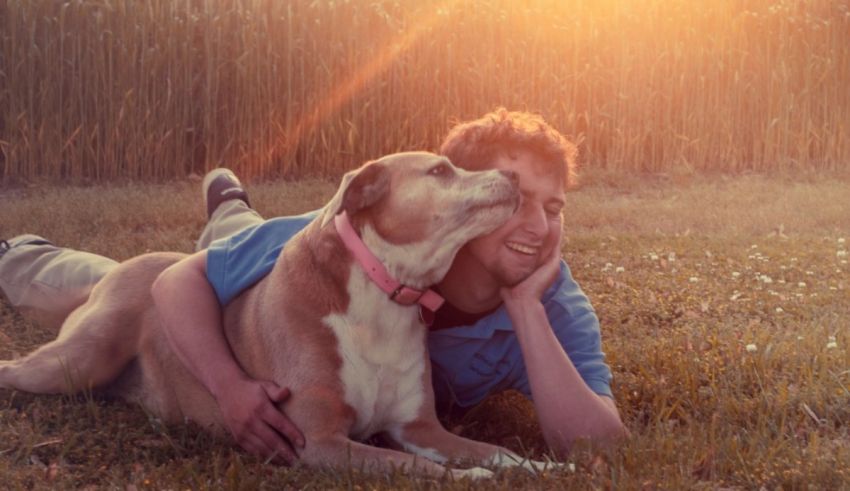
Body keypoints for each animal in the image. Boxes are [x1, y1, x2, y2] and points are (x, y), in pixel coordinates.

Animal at [0, 153, 552, 480]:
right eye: (440, 171)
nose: (513, 176)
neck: (383, 291)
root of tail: (125, 265)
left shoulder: (420, 428)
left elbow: (494, 450)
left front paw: (542, 466)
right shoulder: (322, 443)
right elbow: (417, 471)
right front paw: (473, 479)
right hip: (80, 359)